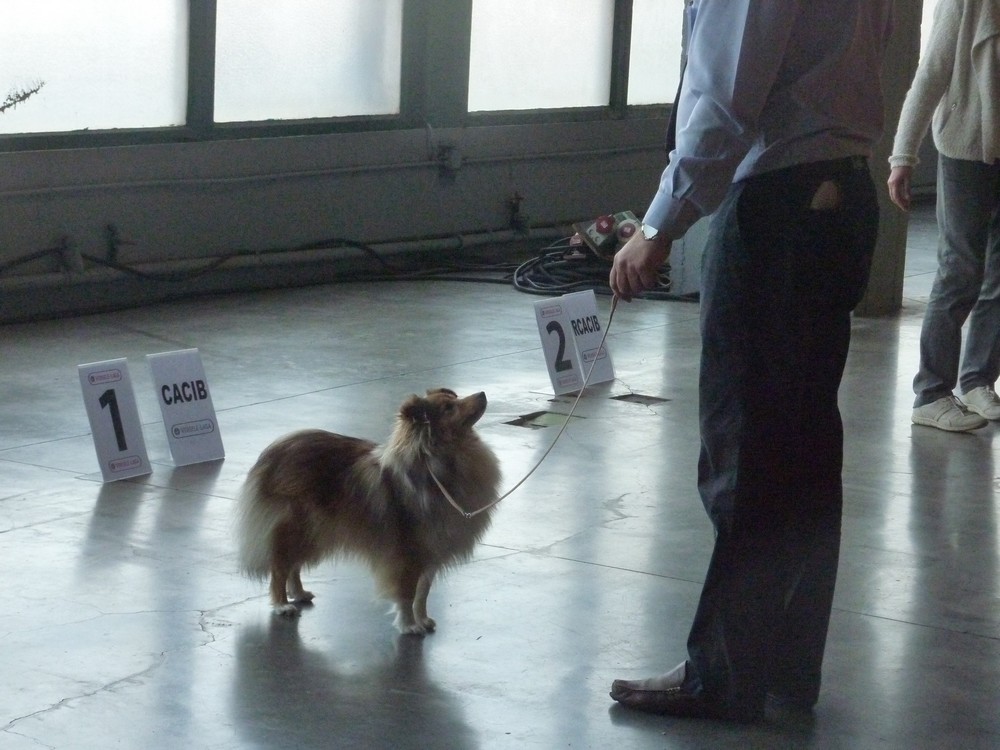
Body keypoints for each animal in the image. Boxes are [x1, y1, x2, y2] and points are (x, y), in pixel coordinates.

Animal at [233, 390, 500, 636]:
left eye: (454, 398)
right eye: (448, 408)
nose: (482, 394)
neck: (439, 463)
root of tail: (273, 452)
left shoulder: (430, 551)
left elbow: (423, 592)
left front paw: (423, 620)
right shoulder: (408, 553)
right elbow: (408, 592)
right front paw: (409, 626)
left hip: (314, 530)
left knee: (293, 565)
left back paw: (298, 593)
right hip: (297, 525)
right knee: (279, 567)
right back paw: (282, 605)